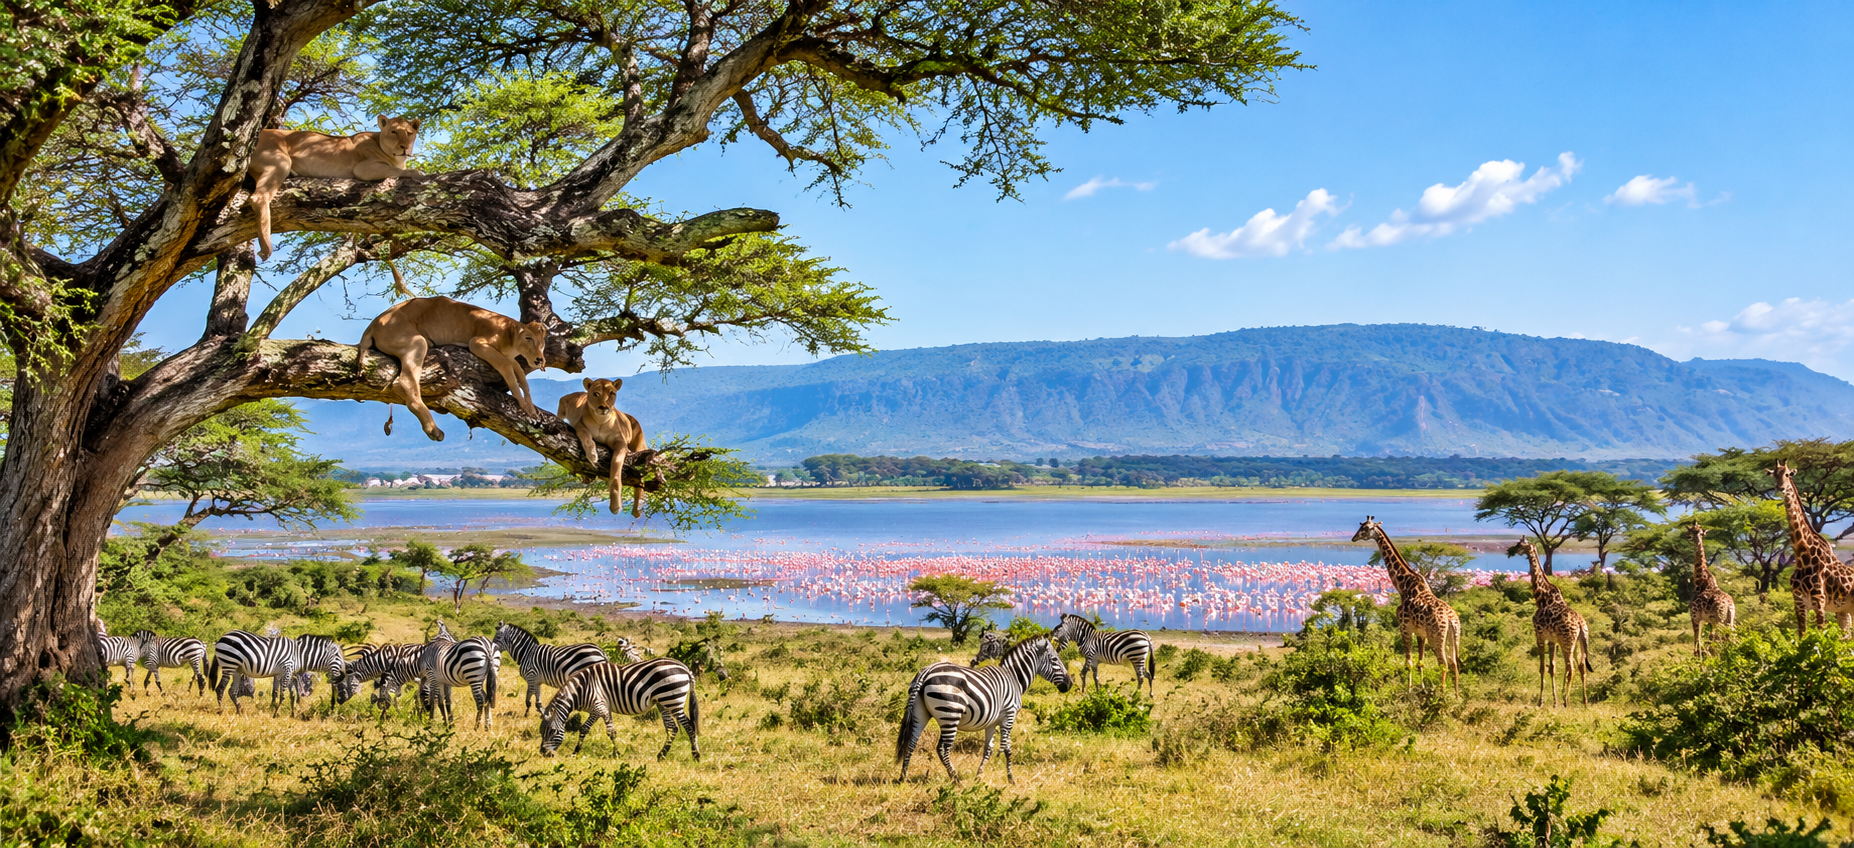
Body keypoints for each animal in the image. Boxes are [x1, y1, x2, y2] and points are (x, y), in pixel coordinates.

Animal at [247, 116, 424, 269]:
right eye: (394, 132)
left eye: (409, 133)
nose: (404, 147)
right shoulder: (363, 169)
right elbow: (399, 171)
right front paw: (417, 172)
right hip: (280, 161)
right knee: (258, 197)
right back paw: (266, 247)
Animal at [356, 297, 547, 442]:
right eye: (528, 338)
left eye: (542, 343)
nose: (539, 359)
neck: (511, 336)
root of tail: (373, 323)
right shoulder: (477, 343)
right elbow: (508, 369)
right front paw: (523, 404)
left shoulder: (510, 357)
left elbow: (521, 376)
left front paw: (531, 407)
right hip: (415, 340)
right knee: (404, 382)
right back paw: (433, 430)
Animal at [557, 377, 650, 517]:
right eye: (596, 394)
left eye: (612, 393)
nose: (603, 407)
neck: (601, 420)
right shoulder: (580, 426)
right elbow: (587, 438)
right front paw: (592, 455)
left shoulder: (621, 443)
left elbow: (616, 466)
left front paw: (615, 506)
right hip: (562, 406)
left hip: (639, 444)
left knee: (641, 476)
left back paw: (638, 508)